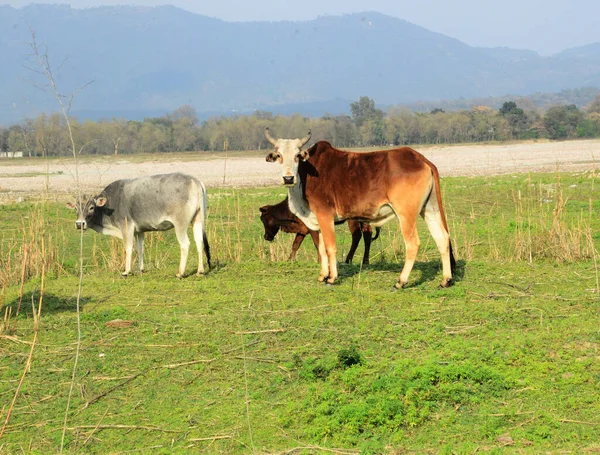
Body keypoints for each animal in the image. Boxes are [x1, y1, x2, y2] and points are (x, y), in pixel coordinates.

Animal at [262, 129, 454, 288]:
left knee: (413, 244)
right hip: (429, 209)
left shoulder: (325, 216)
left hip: (406, 213)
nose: (288, 178)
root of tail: (420, 159)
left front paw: (332, 278)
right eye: (278, 155)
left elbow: (330, 247)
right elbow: (322, 249)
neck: (306, 175)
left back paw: (401, 281)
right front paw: (323, 275)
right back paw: (446, 280)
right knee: (442, 238)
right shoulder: (317, 221)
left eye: (297, 155)